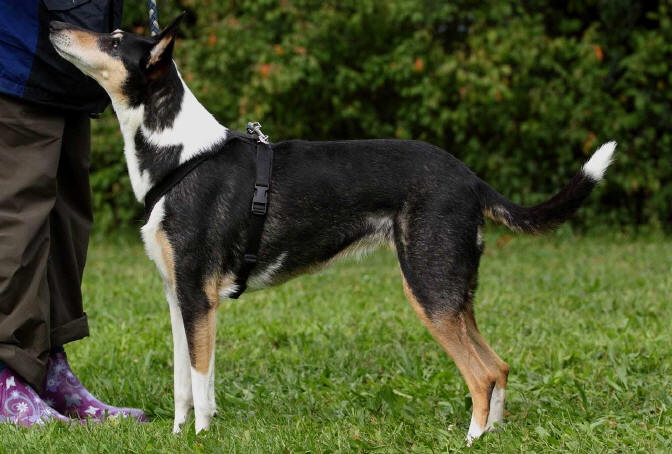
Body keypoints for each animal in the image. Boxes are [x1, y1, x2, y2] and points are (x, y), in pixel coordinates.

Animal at [49, 14, 615, 443]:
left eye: (113, 40)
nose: (53, 23)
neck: (180, 154)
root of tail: (473, 179)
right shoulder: (177, 295)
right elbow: (181, 384)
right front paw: (176, 436)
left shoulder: (198, 296)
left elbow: (202, 383)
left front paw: (202, 439)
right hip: (452, 291)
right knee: (497, 366)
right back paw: (492, 435)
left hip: (428, 289)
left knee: (480, 373)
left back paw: (472, 439)